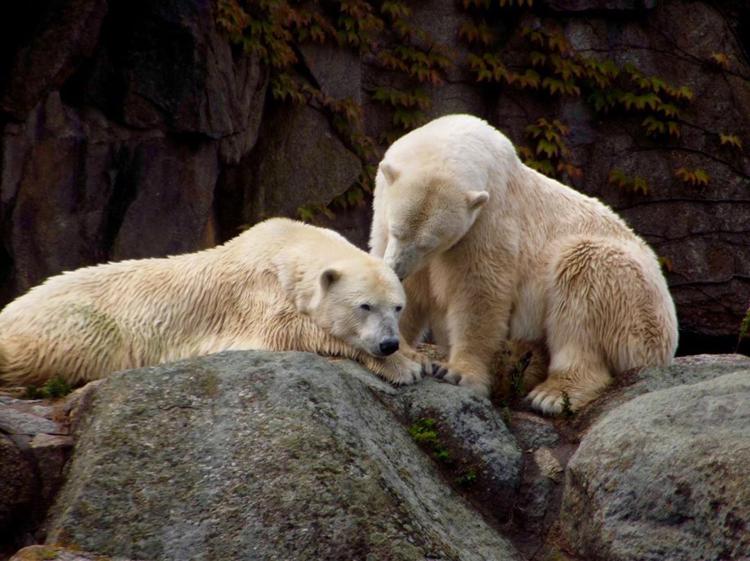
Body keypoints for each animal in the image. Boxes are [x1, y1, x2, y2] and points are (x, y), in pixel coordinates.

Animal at [0, 217, 426, 388]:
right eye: (364, 306)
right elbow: (289, 329)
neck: (287, 244)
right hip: (74, 324)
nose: (388, 343)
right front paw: (404, 367)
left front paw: (417, 356)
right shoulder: (255, 294)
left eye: (397, 307)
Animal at [372, 114, 680, 414]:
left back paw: (553, 394)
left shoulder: (490, 218)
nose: (397, 268)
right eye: (397, 230)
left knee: (583, 284)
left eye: (430, 243)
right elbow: (407, 288)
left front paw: (457, 372)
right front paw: (400, 353)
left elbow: (478, 292)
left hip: (636, 305)